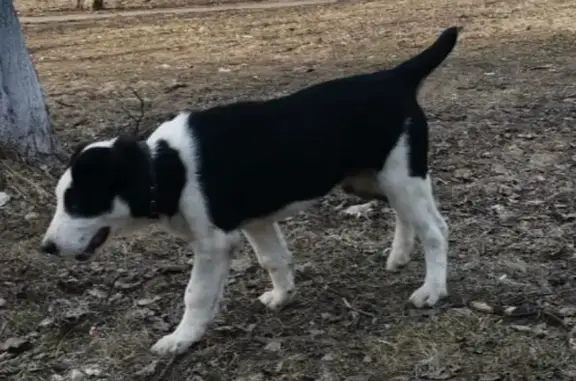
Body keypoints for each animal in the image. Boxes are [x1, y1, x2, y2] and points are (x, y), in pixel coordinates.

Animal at [40, 26, 462, 354]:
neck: (166, 165)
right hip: (375, 180)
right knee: (408, 215)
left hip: (399, 177)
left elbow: (196, 294)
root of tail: (396, 76)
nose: (47, 248)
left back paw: (432, 289)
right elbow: (274, 260)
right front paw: (283, 296)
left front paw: (181, 339)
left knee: (436, 230)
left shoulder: (213, 244)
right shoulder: (256, 222)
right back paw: (399, 256)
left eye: (77, 201)